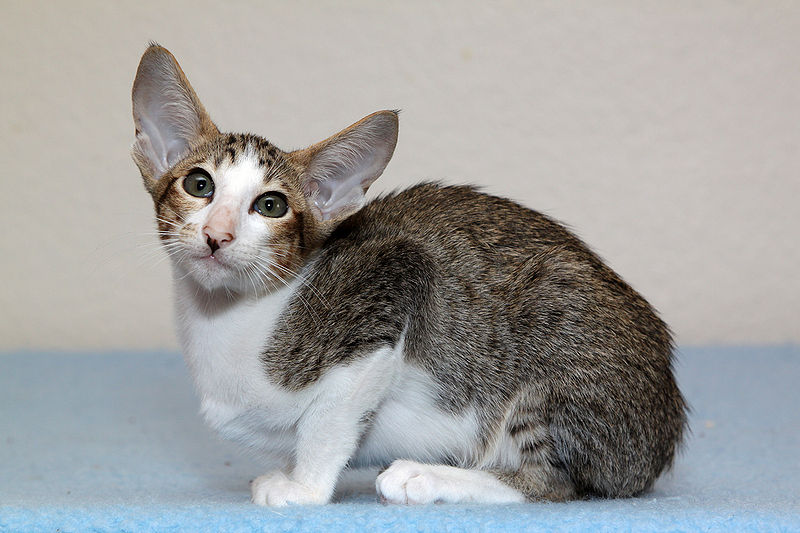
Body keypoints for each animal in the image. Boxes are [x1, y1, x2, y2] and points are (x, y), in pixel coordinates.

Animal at [131, 43, 688, 504]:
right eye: (199, 184)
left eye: (271, 205)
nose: (217, 234)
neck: (231, 315)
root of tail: (663, 433)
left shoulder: (395, 276)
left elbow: (328, 421)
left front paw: (304, 486)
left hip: (558, 344)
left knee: (549, 484)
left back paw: (426, 476)